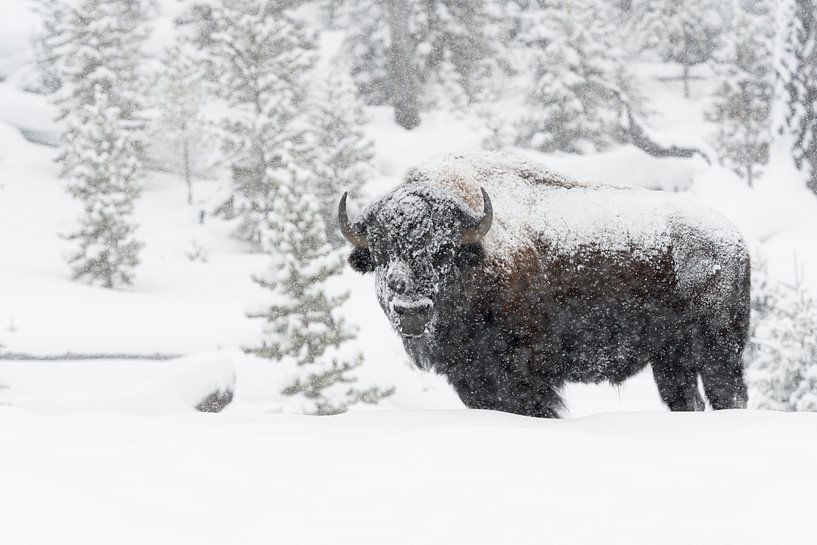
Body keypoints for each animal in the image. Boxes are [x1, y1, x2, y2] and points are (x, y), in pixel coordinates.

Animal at [339, 151, 750, 417]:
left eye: (444, 250)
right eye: (380, 252)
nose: (411, 310)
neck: (478, 256)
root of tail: (733, 240)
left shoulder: (524, 377)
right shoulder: (470, 379)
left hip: (717, 352)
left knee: (728, 394)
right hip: (670, 360)